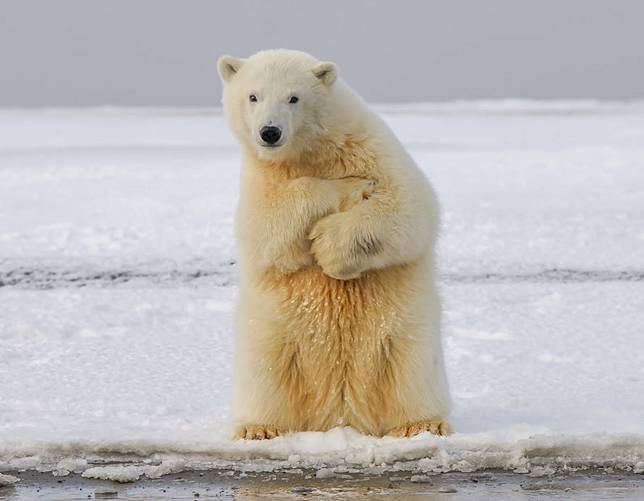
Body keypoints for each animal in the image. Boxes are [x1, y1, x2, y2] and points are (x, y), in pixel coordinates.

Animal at [219, 49, 450, 438]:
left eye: (294, 97)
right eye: (253, 96)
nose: (270, 132)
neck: (313, 151)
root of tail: (341, 414)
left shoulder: (372, 148)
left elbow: (409, 207)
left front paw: (330, 247)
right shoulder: (261, 178)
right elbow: (266, 228)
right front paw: (346, 187)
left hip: (404, 331)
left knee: (411, 369)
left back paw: (421, 424)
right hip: (273, 334)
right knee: (266, 372)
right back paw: (259, 429)